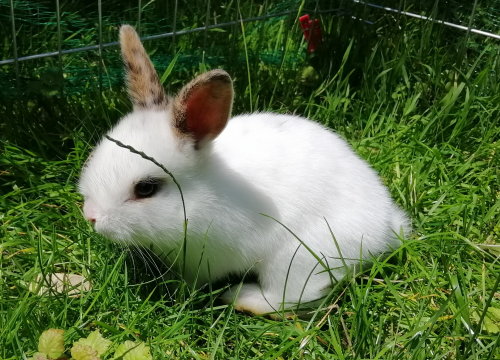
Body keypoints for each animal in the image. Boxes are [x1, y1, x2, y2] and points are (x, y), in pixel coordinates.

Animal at [80, 25, 410, 316]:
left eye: (146, 188)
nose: (91, 216)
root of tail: (386, 228)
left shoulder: (207, 260)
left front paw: (178, 292)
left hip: (297, 260)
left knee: (289, 297)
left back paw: (241, 297)